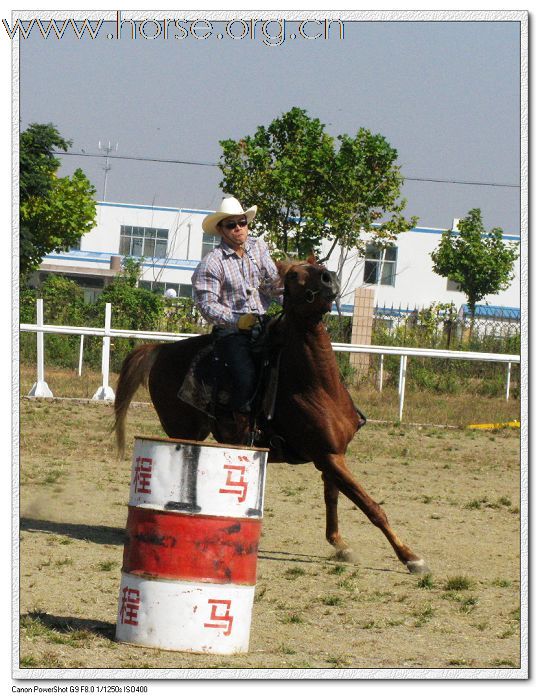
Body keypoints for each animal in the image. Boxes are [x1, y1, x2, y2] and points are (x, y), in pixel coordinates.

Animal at [113, 258, 426, 576]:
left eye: (317, 265)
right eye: (293, 275)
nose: (329, 278)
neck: (316, 385)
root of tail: (161, 349)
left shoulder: (334, 454)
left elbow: (333, 497)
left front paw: (340, 544)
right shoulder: (326, 456)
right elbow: (371, 506)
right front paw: (410, 557)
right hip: (183, 431)